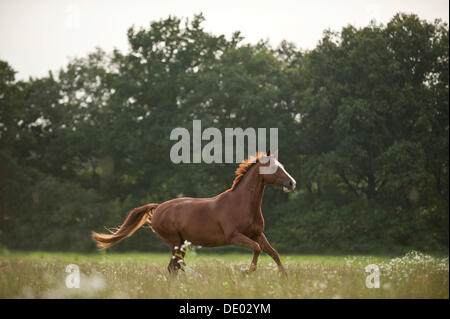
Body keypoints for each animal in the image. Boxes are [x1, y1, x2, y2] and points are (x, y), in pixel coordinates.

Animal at [91, 151, 296, 276]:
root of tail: (159, 207)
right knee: (176, 264)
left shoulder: (258, 234)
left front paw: (284, 277)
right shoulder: (234, 237)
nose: (291, 183)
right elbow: (257, 249)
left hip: (180, 243)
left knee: (173, 266)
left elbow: (274, 253)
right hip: (174, 241)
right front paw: (246, 272)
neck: (243, 204)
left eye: (282, 165)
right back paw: (198, 277)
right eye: (274, 167)